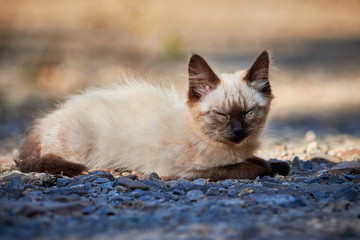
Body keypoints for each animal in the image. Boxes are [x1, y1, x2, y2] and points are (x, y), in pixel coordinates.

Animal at [14, 51, 290, 181]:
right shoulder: (181, 171)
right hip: (80, 142)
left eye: (248, 112)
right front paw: (263, 165)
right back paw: (113, 171)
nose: (238, 131)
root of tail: (42, 122)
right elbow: (250, 167)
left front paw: (278, 164)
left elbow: (269, 162)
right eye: (221, 114)